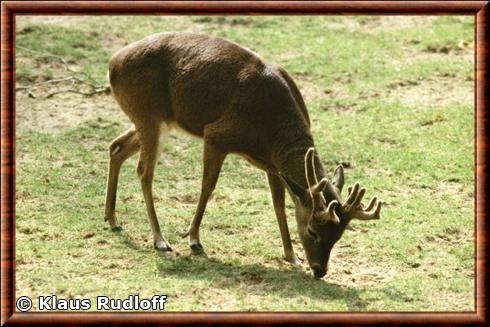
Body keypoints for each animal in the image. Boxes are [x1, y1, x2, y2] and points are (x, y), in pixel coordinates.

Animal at [104, 32, 382, 280]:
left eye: (339, 234)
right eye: (313, 231)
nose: (319, 270)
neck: (270, 129)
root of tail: (112, 64)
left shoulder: (271, 164)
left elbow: (278, 203)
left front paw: (291, 256)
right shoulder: (216, 134)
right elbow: (207, 186)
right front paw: (194, 238)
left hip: (152, 120)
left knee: (116, 146)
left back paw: (112, 219)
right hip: (149, 114)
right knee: (144, 171)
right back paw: (160, 240)